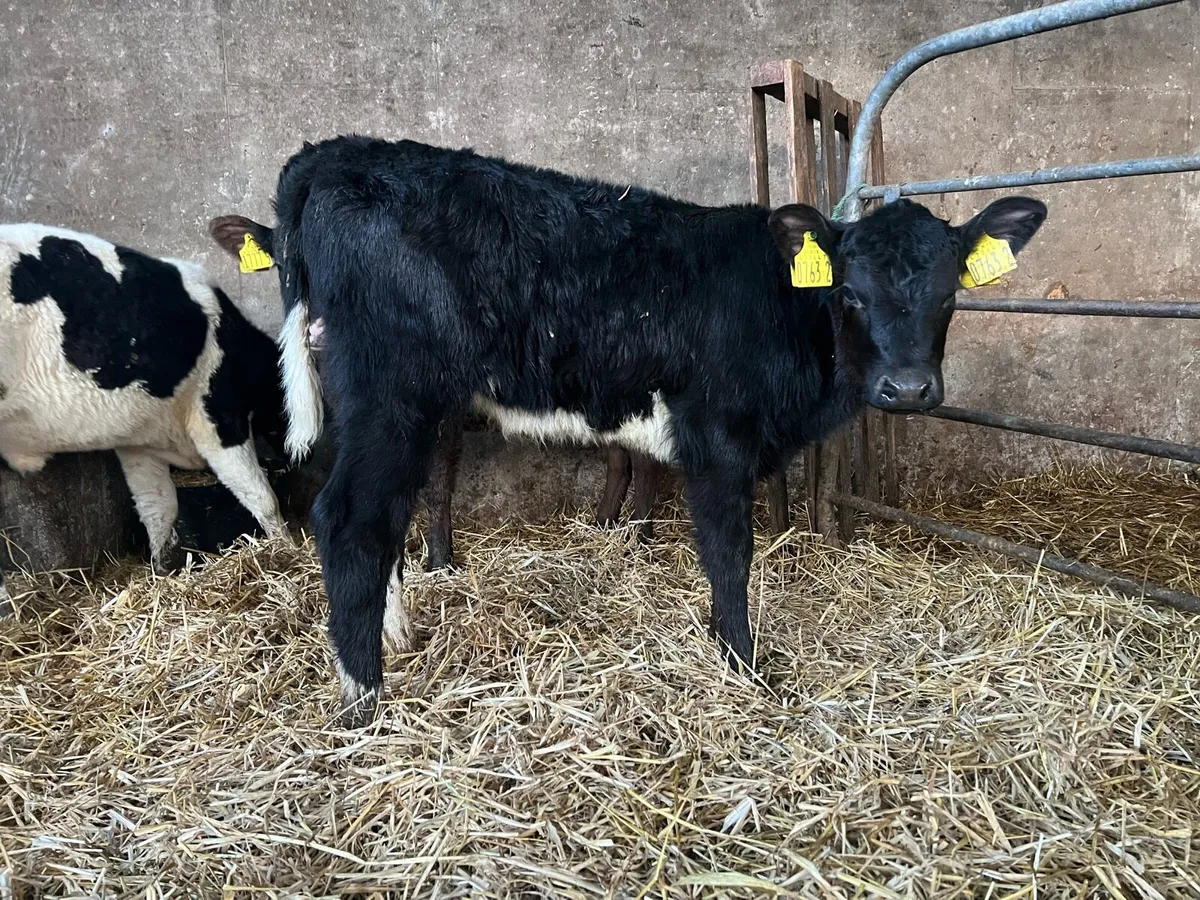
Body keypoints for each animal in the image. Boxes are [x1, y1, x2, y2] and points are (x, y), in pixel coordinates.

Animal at [0, 224, 290, 614]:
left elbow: (158, 509)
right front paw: (288, 550)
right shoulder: (217, 414)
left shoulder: (138, 443)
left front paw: (161, 571)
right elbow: (261, 497)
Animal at [223, 135, 1047, 726]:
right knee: (350, 519)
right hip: (391, 392)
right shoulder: (717, 439)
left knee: (381, 515)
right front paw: (745, 666)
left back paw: (397, 638)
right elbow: (729, 554)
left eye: (950, 296)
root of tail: (335, 153)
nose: (906, 388)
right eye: (849, 291)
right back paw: (364, 701)